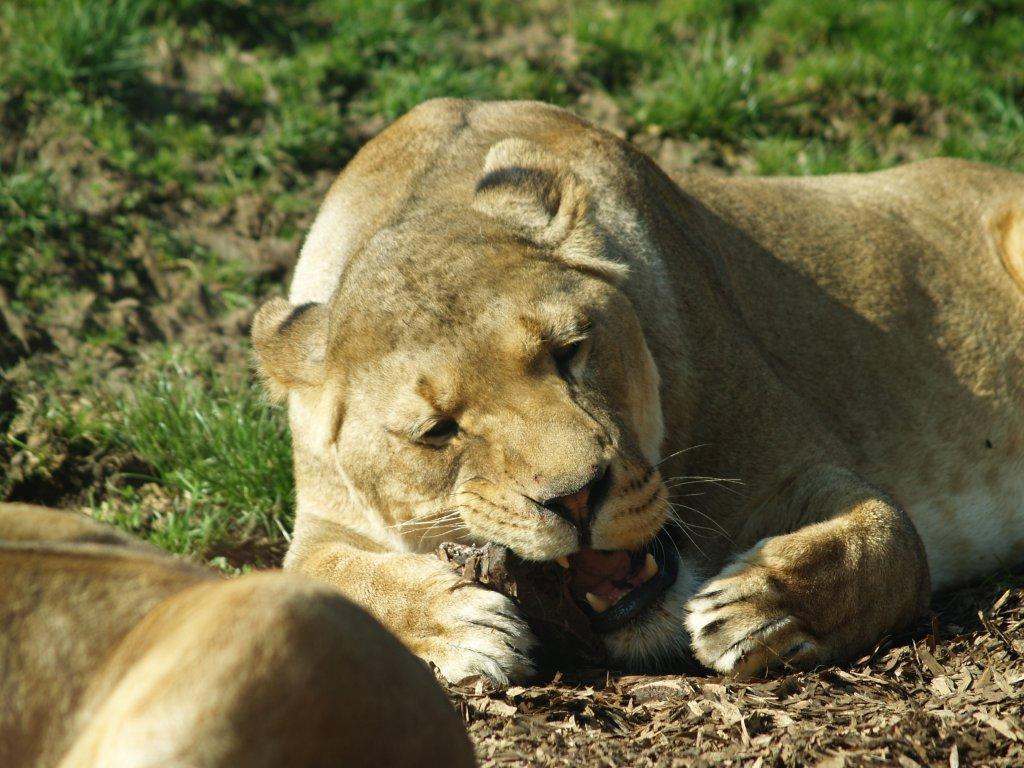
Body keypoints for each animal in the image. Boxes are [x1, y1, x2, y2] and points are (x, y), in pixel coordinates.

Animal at [252, 98, 1024, 681]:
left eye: (570, 352)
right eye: (438, 431)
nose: (574, 497)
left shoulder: (797, 463)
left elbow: (885, 538)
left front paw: (758, 608)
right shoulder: (319, 520)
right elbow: (322, 580)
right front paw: (459, 624)